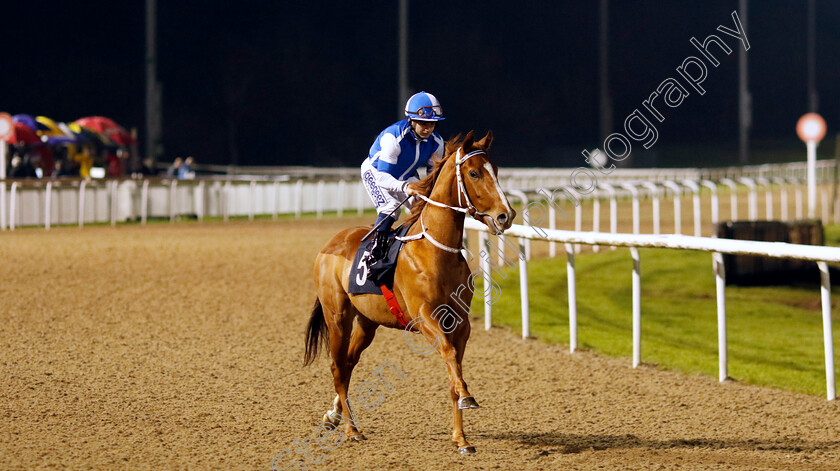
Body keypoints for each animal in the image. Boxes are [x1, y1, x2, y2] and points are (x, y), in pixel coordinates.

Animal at [302, 130, 512, 454]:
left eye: (497, 171)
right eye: (474, 173)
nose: (505, 216)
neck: (437, 250)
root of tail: (331, 244)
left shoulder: (460, 323)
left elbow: (454, 368)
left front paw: (461, 438)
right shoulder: (425, 317)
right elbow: (450, 356)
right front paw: (468, 397)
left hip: (367, 323)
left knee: (348, 365)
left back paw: (334, 416)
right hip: (337, 317)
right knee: (337, 368)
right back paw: (351, 430)